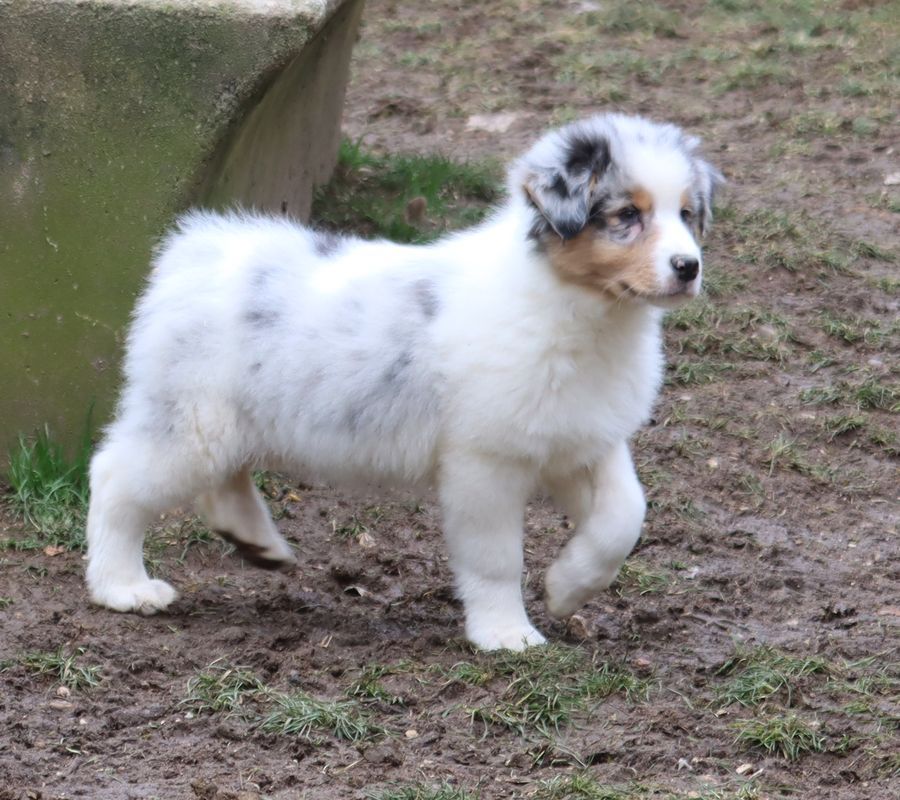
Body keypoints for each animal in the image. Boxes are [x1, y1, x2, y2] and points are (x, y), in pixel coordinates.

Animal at [86, 112, 724, 648]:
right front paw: (506, 635)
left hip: (224, 417)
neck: (587, 314)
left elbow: (624, 515)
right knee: (115, 476)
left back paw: (254, 542)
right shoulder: (486, 462)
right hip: (192, 421)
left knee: (220, 480)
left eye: (687, 214)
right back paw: (123, 587)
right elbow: (496, 558)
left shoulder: (579, 439)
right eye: (626, 216)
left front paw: (567, 589)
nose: (688, 267)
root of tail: (195, 249)